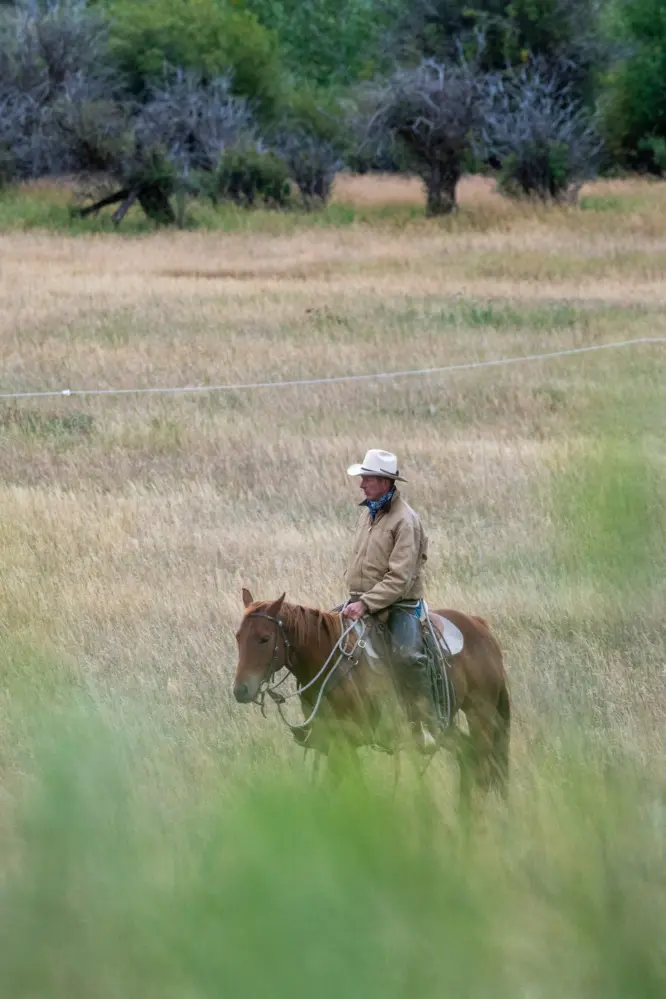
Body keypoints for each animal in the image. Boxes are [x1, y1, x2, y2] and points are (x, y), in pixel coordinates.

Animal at [233, 588, 508, 800]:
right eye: (238, 637)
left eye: (264, 638)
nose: (240, 690)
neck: (332, 663)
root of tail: (480, 626)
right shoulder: (334, 742)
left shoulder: (350, 740)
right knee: (467, 756)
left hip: (480, 713)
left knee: (482, 766)